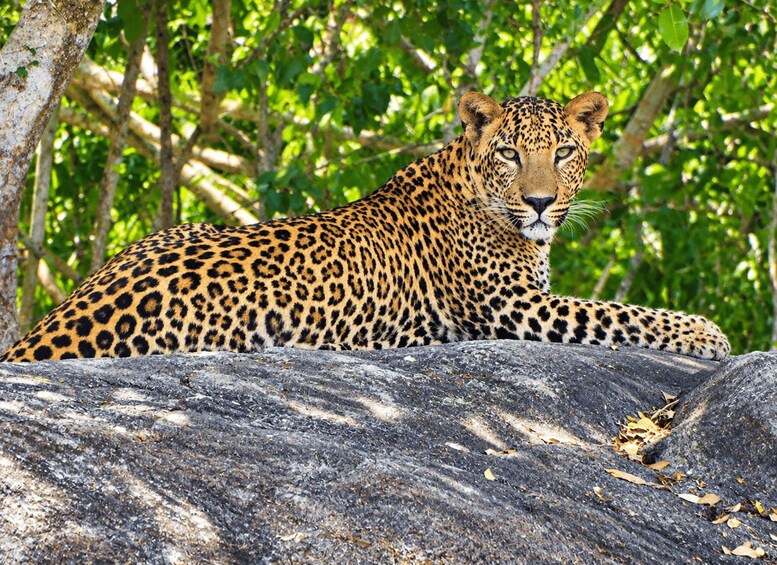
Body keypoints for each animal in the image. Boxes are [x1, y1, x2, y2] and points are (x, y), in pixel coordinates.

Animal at [0, 91, 730, 362]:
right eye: (508, 153)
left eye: (565, 151)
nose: (543, 202)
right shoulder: (511, 308)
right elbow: (618, 313)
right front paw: (706, 332)